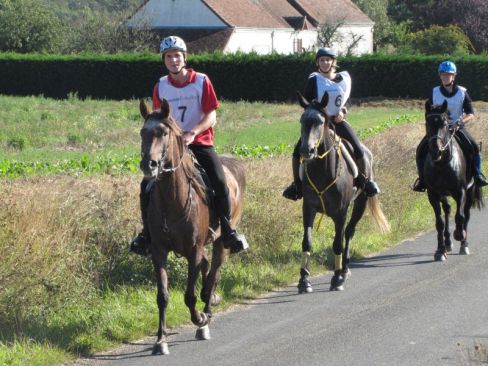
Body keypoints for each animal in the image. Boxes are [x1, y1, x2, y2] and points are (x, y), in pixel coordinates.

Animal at [138, 99, 246, 354]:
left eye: (163, 132)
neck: (172, 199)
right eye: (142, 133)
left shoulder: (193, 250)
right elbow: (163, 296)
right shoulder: (158, 250)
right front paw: (161, 340)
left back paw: (206, 314)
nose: (149, 165)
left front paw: (200, 320)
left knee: (213, 273)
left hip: (221, 242)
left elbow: (190, 295)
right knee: (207, 272)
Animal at [296, 91, 390, 292]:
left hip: (360, 203)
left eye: (320, 121)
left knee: (349, 232)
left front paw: (337, 278)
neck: (323, 171)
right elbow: (307, 242)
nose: (306, 150)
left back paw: (344, 270)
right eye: (302, 120)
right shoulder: (308, 208)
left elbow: (337, 243)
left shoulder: (341, 212)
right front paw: (304, 280)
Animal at [424, 99, 484, 260]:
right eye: (427, 123)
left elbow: (460, 216)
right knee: (447, 209)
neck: (442, 163)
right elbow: (439, 222)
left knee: (466, 215)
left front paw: (459, 235)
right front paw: (440, 251)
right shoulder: (433, 194)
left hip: (469, 191)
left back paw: (464, 244)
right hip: (444, 194)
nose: (435, 151)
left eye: (444, 123)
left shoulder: (460, 190)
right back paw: (448, 243)